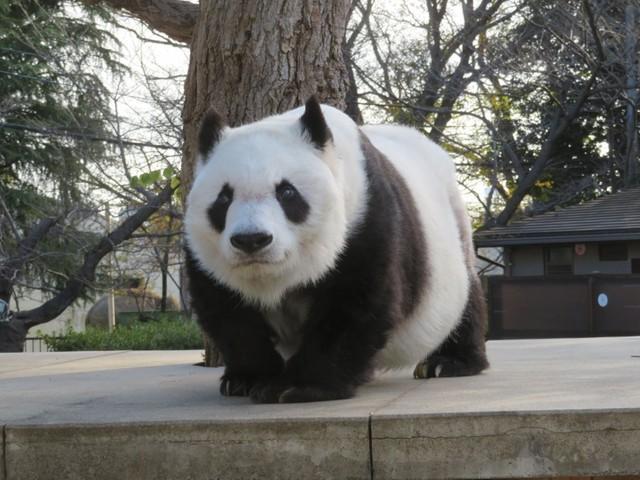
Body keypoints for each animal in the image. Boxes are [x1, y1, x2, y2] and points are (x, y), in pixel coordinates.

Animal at [185, 97, 490, 404]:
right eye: (224, 198)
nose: (251, 239)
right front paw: (247, 379)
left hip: (453, 228)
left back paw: (447, 363)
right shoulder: (206, 258)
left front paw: (299, 386)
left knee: (465, 299)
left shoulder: (364, 218)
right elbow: (230, 314)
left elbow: (352, 306)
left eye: (287, 192)